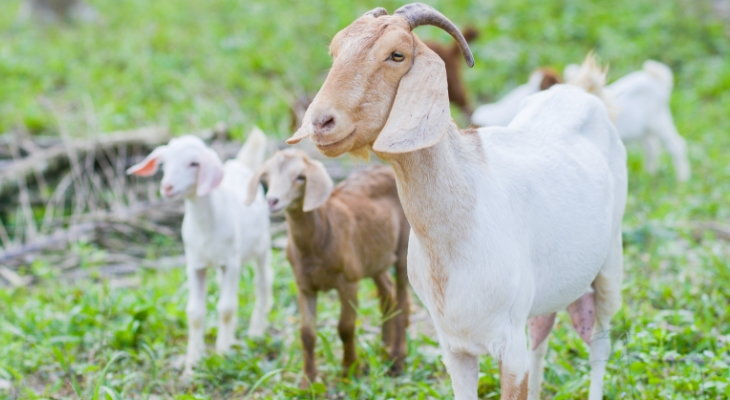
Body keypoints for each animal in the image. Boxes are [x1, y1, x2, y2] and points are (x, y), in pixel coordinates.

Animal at [127, 129, 273, 377]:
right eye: (164, 163)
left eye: (194, 163)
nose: (167, 187)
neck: (206, 225)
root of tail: (239, 165)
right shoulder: (195, 265)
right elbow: (195, 313)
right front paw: (192, 362)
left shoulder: (231, 263)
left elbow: (226, 308)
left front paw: (222, 354)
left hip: (261, 246)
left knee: (262, 285)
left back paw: (255, 333)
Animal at [245, 149, 410, 385]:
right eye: (266, 177)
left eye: (301, 177)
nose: (272, 201)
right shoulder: (304, 285)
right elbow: (307, 333)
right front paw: (308, 380)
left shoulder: (348, 281)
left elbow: (345, 328)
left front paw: (350, 371)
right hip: (374, 258)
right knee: (388, 294)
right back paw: (385, 350)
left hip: (404, 247)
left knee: (403, 299)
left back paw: (397, 360)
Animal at [286, 4, 626, 400]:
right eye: (336, 50)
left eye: (396, 54)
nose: (321, 122)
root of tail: (583, 93)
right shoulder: (454, 347)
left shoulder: (510, 349)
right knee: (543, 334)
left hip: (609, 266)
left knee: (600, 343)